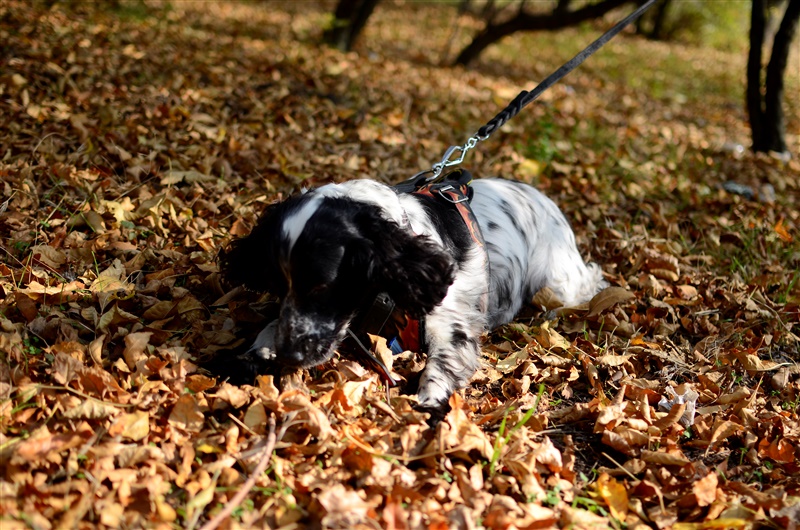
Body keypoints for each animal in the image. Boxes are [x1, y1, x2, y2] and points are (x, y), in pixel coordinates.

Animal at [220, 175, 608, 422]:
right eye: (276, 284)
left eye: (321, 286)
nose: (290, 354)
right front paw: (256, 351)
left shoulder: (450, 323)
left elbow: (441, 363)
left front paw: (429, 400)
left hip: (555, 285)